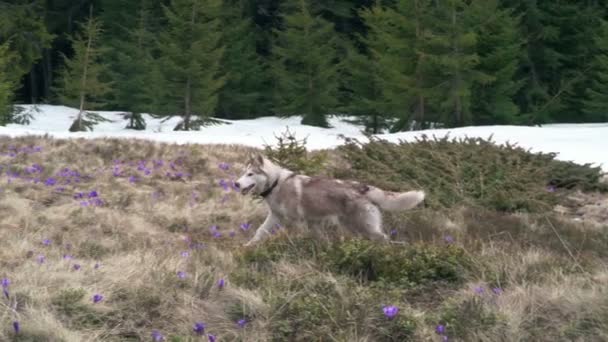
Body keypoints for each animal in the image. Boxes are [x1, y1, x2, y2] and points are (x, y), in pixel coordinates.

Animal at [235, 154, 426, 246]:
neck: (276, 184)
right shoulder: (277, 217)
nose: (236, 183)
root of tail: (363, 187)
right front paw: (247, 247)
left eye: (250, 174)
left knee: (384, 239)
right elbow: (259, 232)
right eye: (244, 173)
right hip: (353, 227)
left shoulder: (298, 222)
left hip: (364, 227)